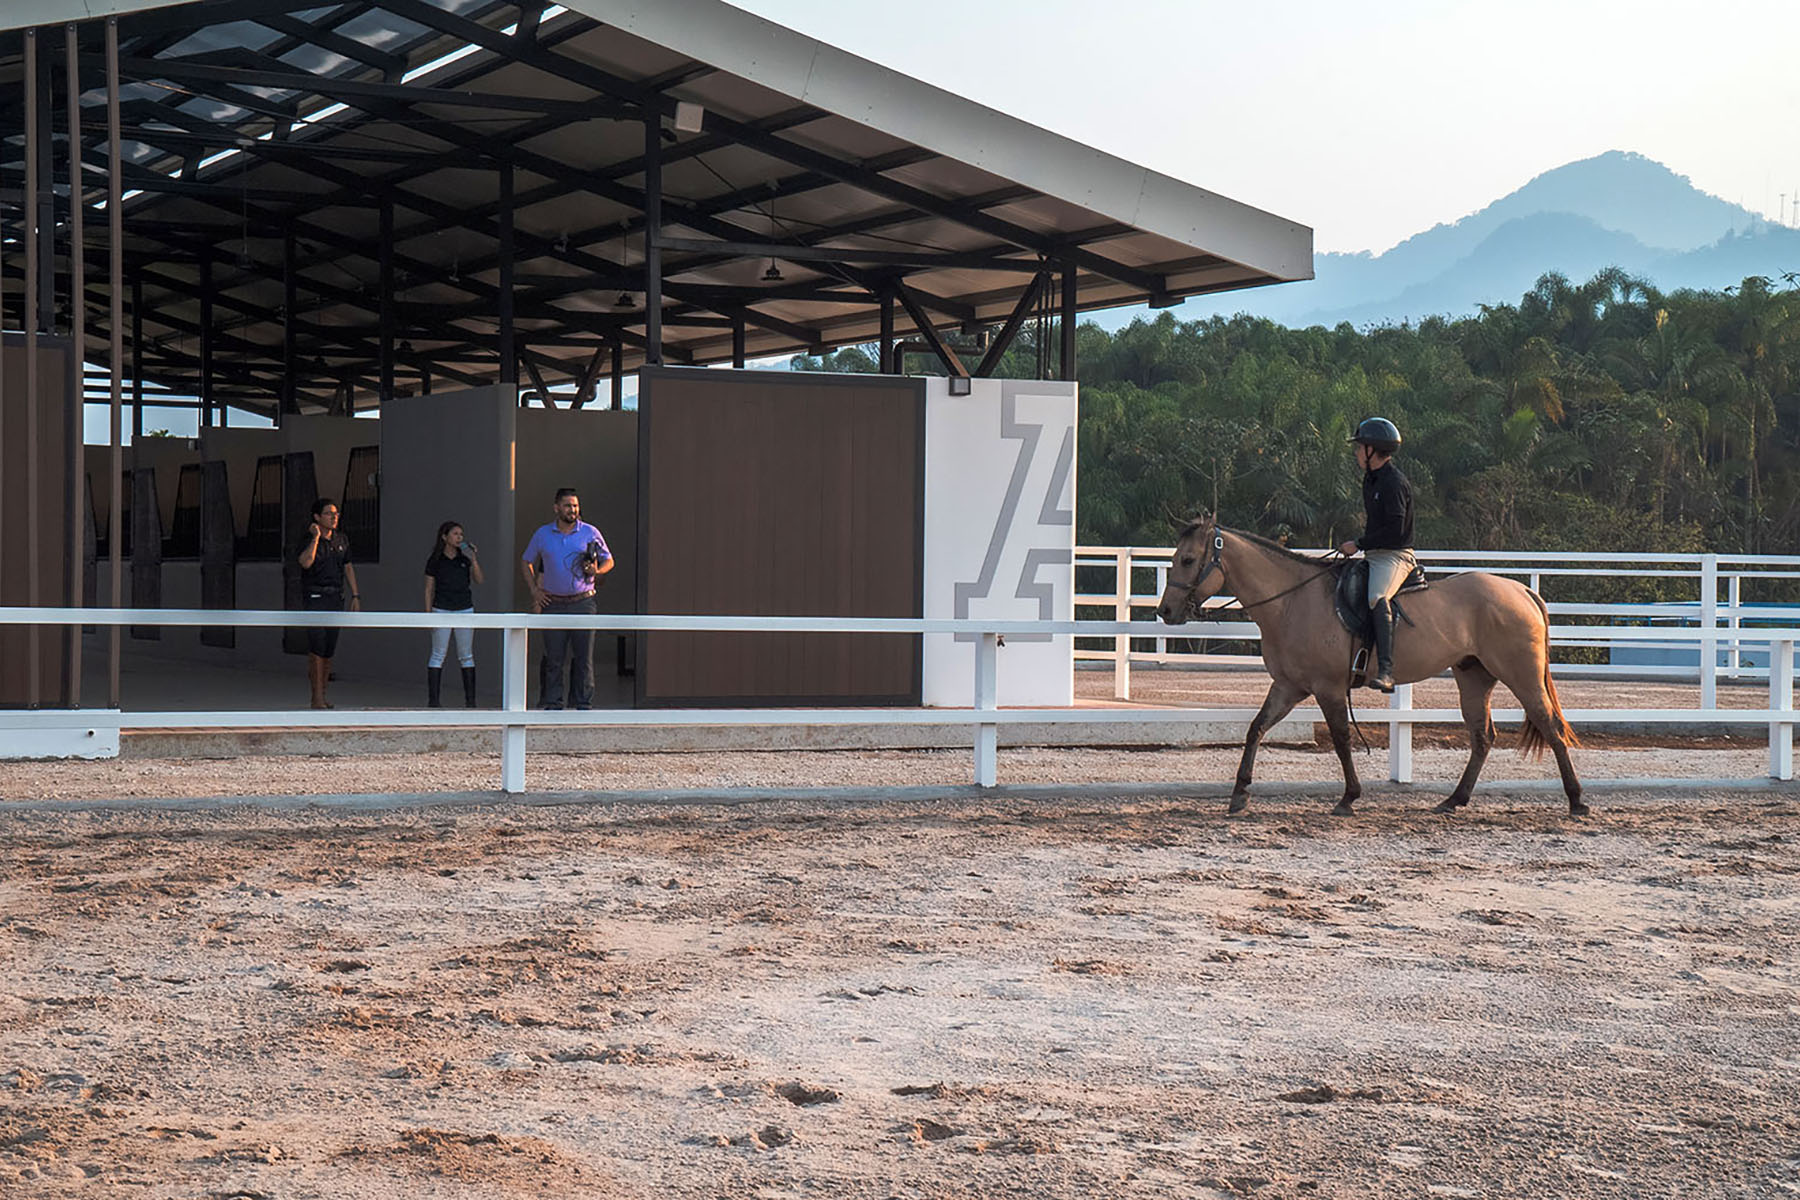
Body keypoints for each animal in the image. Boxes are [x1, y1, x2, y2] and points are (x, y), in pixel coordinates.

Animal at [1144, 514, 1584, 816]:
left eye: (1187, 560)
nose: (1165, 611)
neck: (1291, 601)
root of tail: (1522, 590)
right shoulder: (1288, 686)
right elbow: (1256, 729)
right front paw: (1239, 794)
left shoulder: (1327, 688)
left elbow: (1341, 739)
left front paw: (1349, 797)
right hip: (1474, 677)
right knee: (1482, 737)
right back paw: (1454, 800)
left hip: (1521, 675)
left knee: (1549, 725)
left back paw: (1576, 801)